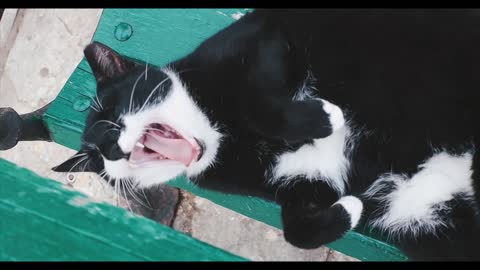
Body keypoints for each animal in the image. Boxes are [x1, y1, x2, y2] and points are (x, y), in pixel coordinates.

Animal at [52, 9, 480, 260]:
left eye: (113, 114)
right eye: (98, 162)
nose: (110, 149)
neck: (222, 136)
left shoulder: (263, 36)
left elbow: (261, 103)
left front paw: (326, 119)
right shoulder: (302, 183)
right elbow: (298, 230)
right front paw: (350, 209)